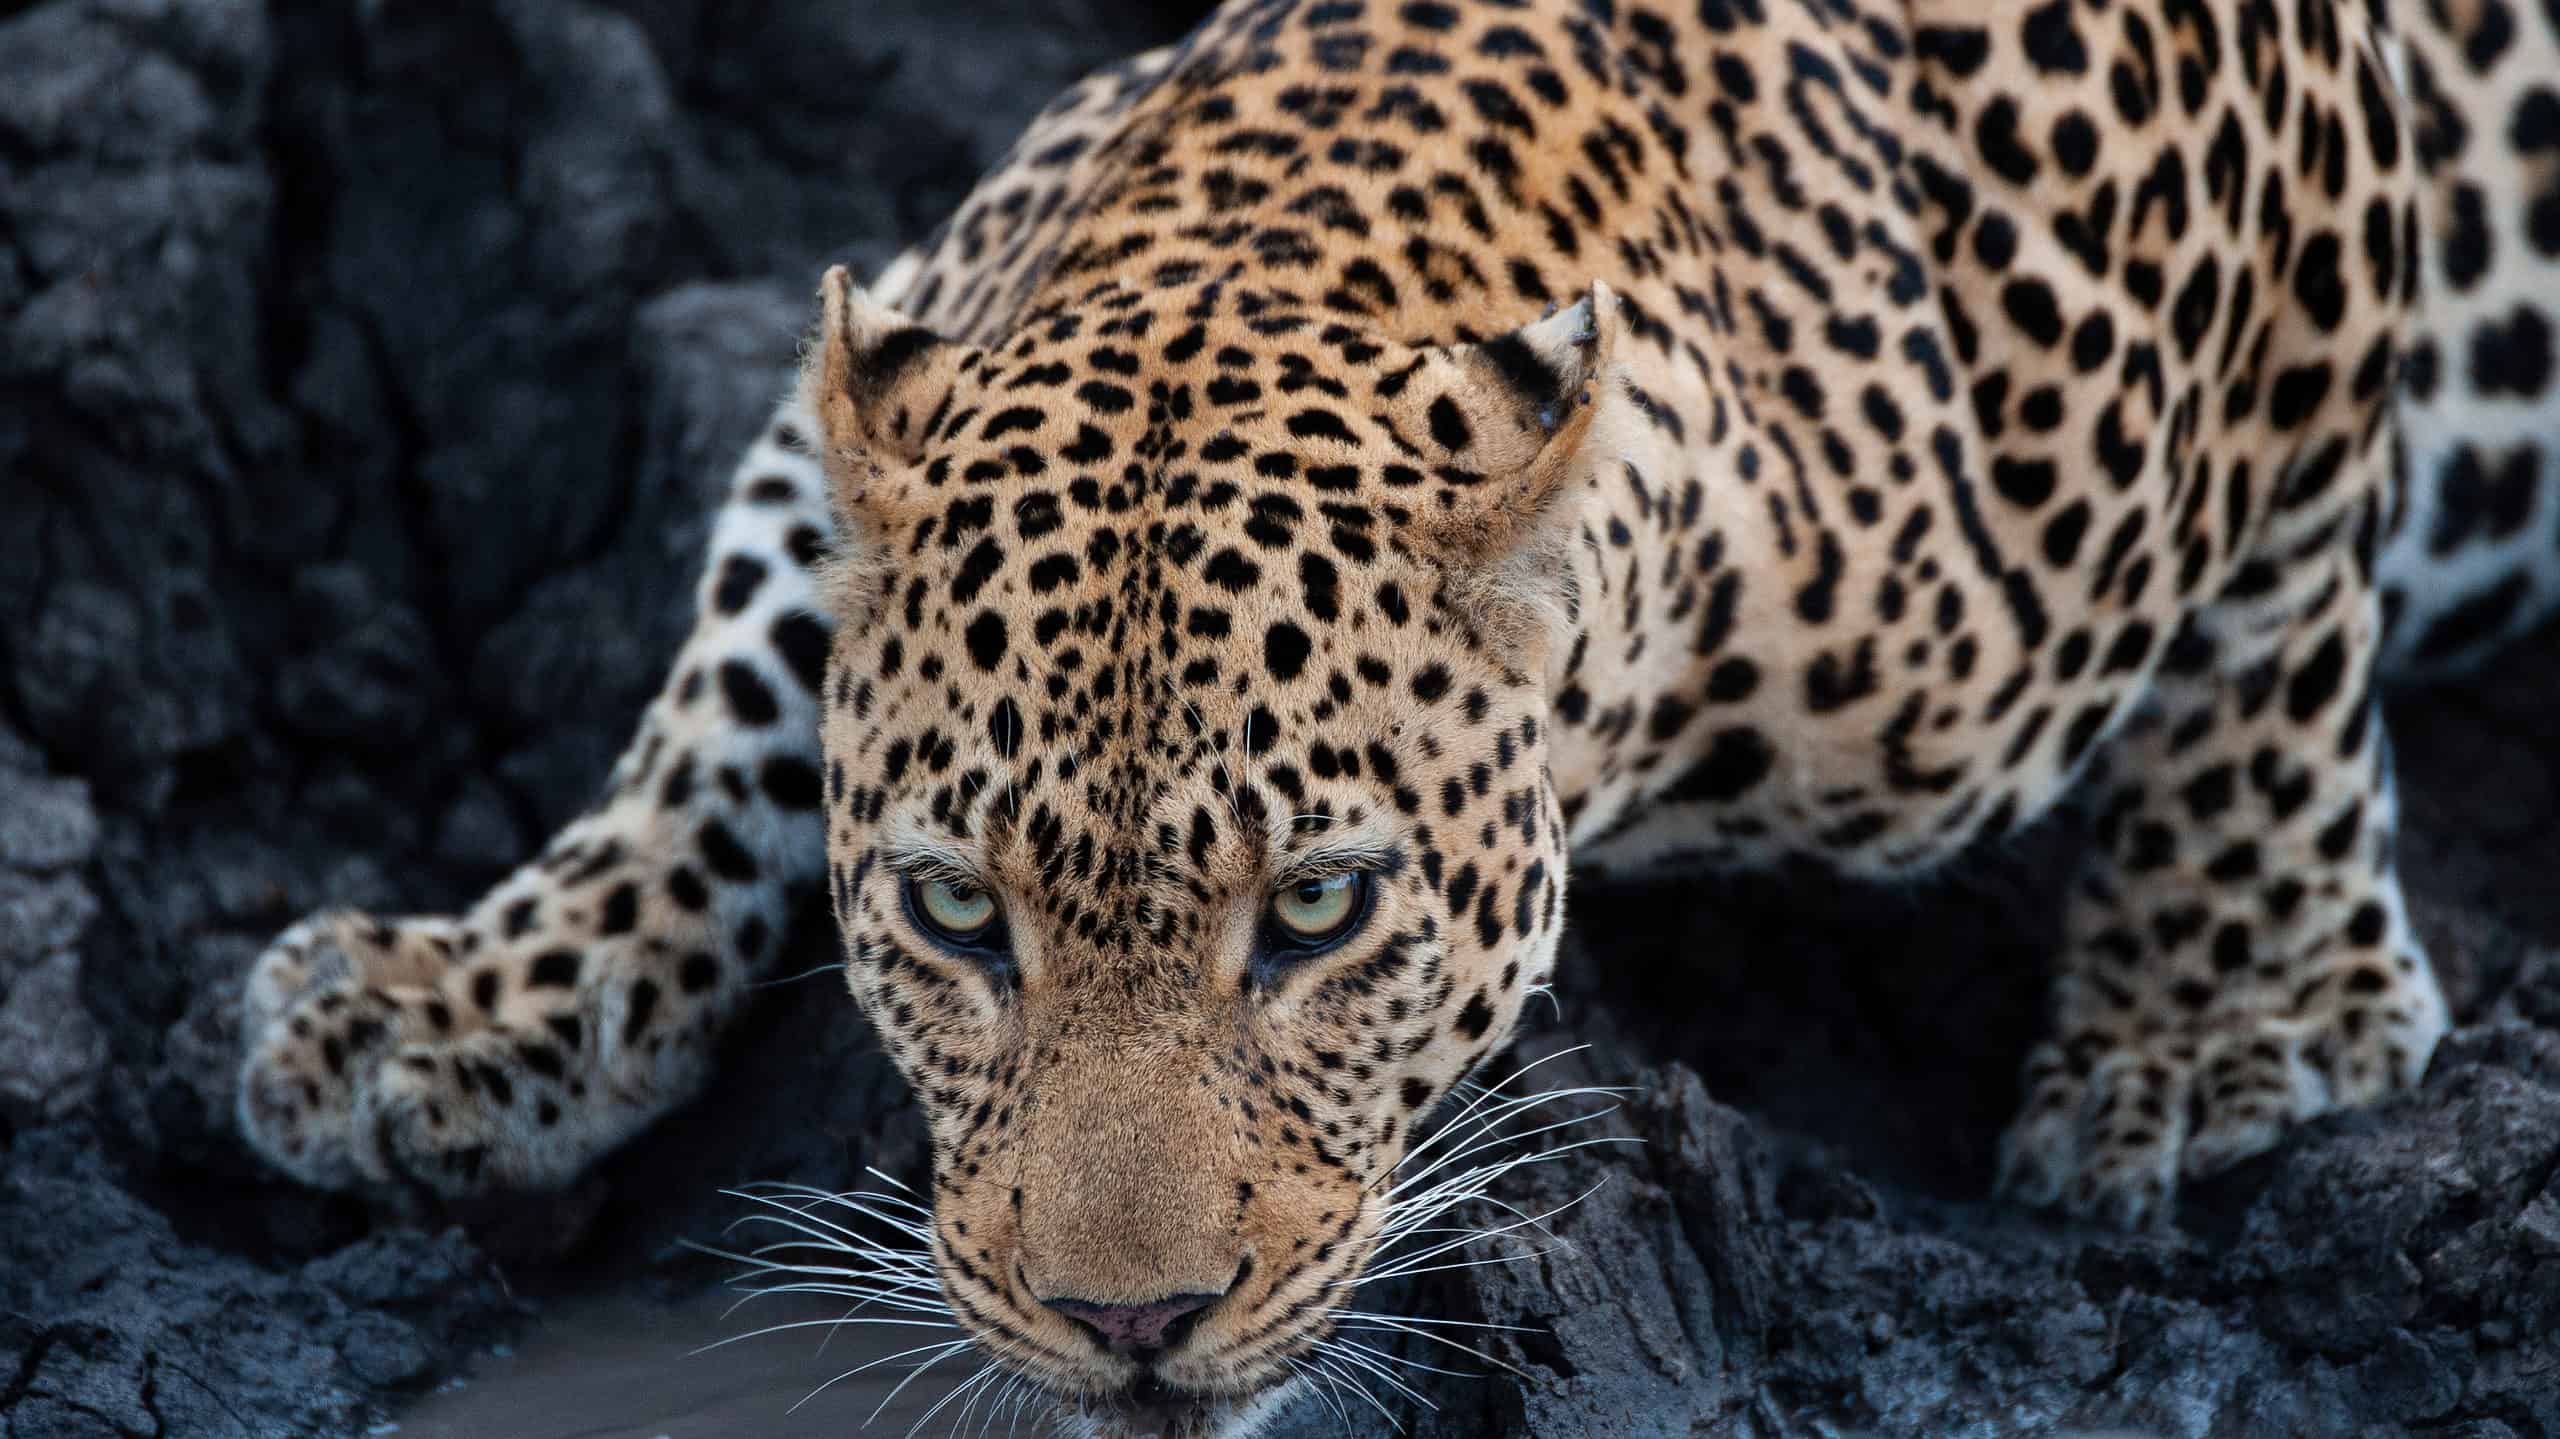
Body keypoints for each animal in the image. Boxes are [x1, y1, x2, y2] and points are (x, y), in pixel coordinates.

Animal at [230, 0, 2560, 1423]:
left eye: (1324, 910)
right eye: (957, 913)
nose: (1132, 1326)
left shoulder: (2283, 168)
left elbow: (2270, 615)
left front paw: (2224, 1022)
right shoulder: (886, 389)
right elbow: (722, 685)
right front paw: (461, 1003)